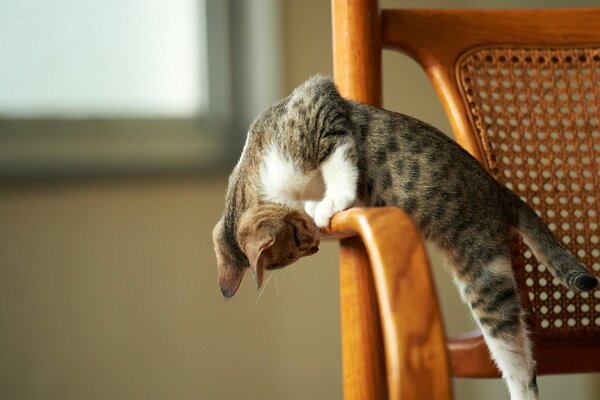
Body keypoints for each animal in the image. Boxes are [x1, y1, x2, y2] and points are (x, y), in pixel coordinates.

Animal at [213, 76, 596, 400]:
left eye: (292, 244)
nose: (316, 243)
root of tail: (499, 192)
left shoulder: (319, 103)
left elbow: (340, 161)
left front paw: (334, 201)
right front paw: (319, 205)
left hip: (484, 274)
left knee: (520, 364)